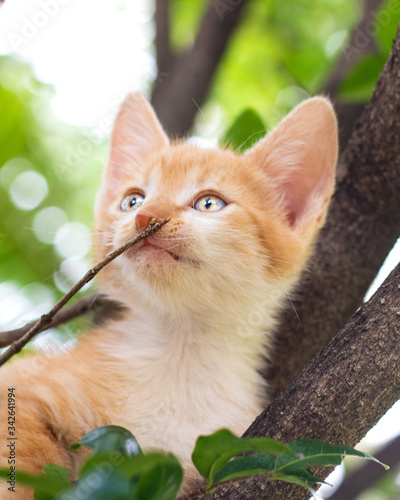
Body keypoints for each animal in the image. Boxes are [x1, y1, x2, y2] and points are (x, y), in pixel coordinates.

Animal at [0, 93, 338, 496]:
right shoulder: (24, 386)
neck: (181, 351)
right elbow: (23, 452)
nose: (146, 217)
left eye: (209, 203)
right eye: (132, 200)